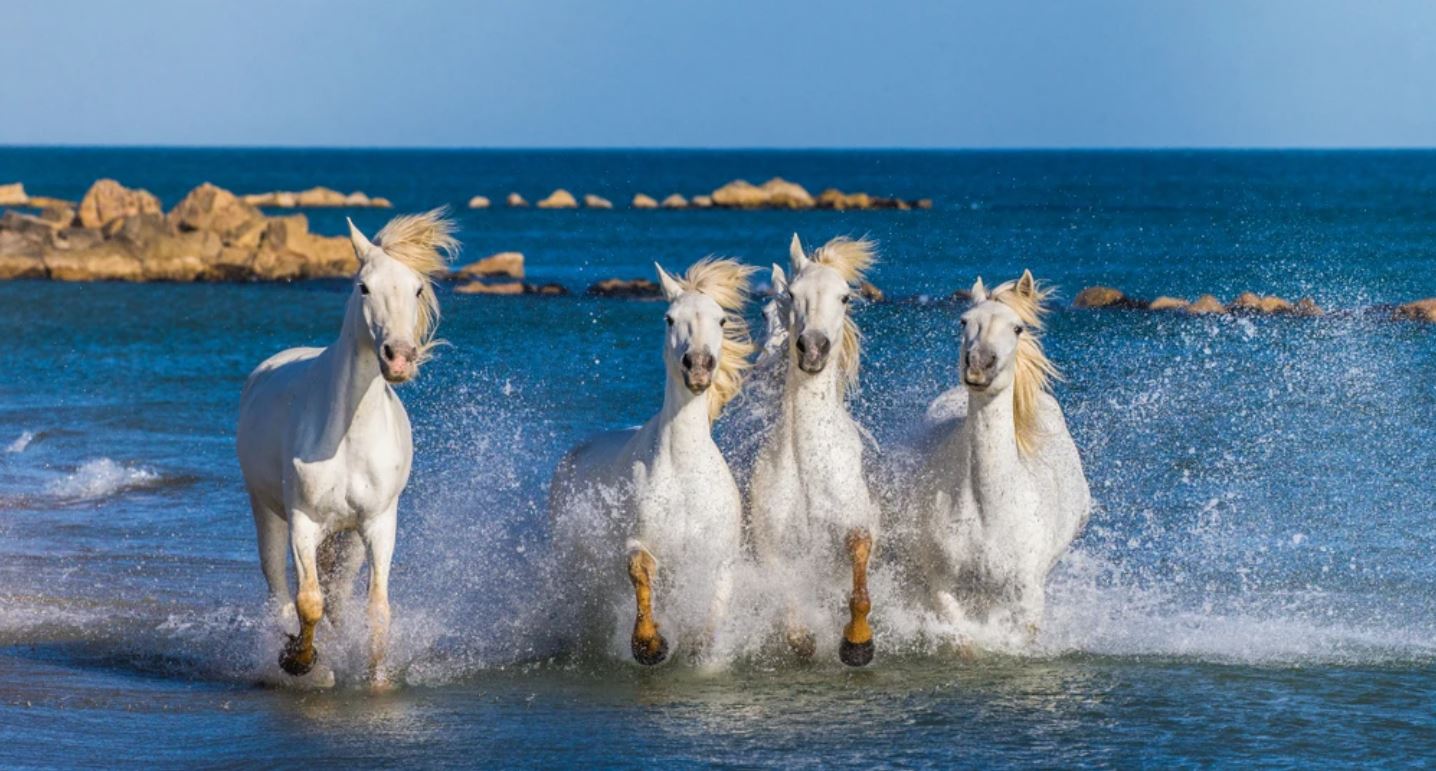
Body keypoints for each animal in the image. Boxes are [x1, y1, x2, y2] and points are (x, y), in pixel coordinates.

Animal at [236, 210, 458, 684]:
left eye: (417, 288)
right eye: (364, 287)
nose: (399, 357)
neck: (348, 436)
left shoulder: (378, 524)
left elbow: (376, 611)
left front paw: (376, 679)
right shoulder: (303, 521)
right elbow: (308, 602)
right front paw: (299, 660)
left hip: (349, 539)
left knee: (337, 597)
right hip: (267, 513)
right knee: (279, 593)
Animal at [548, 258, 757, 666]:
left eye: (722, 319)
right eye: (669, 318)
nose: (698, 366)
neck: (685, 473)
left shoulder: (720, 554)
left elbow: (715, 604)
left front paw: (699, 647)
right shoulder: (639, 539)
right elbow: (640, 571)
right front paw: (649, 644)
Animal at [749, 234, 882, 667]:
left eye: (845, 297)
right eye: (793, 294)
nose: (812, 348)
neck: (809, 469)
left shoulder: (857, 523)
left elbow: (859, 579)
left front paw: (857, 643)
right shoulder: (770, 542)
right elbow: (787, 599)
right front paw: (805, 639)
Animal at [913, 270, 1091, 646]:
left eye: (1017, 328)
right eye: (964, 320)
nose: (979, 365)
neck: (990, 512)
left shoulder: (1027, 598)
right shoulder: (943, 587)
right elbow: (963, 636)